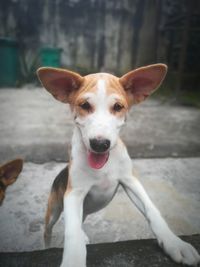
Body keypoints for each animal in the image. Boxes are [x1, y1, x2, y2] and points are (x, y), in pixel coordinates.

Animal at [36, 65, 199, 267]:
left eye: (118, 107)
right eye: (85, 105)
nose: (100, 144)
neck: (103, 164)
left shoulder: (130, 180)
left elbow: (152, 210)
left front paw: (174, 243)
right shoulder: (74, 194)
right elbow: (72, 233)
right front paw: (73, 260)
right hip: (54, 210)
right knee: (48, 231)